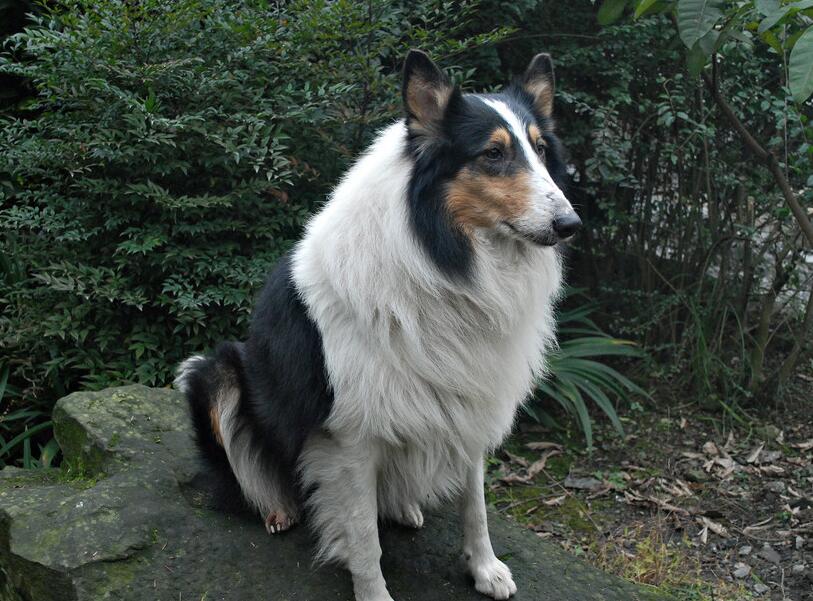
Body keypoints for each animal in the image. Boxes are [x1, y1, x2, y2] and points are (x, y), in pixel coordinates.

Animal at [175, 49, 580, 601]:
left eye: (540, 149)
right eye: (493, 154)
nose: (570, 225)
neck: (446, 261)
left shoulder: (472, 400)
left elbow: (475, 504)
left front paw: (485, 569)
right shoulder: (347, 436)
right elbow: (364, 536)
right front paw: (374, 590)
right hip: (214, 369)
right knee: (249, 471)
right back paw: (278, 507)